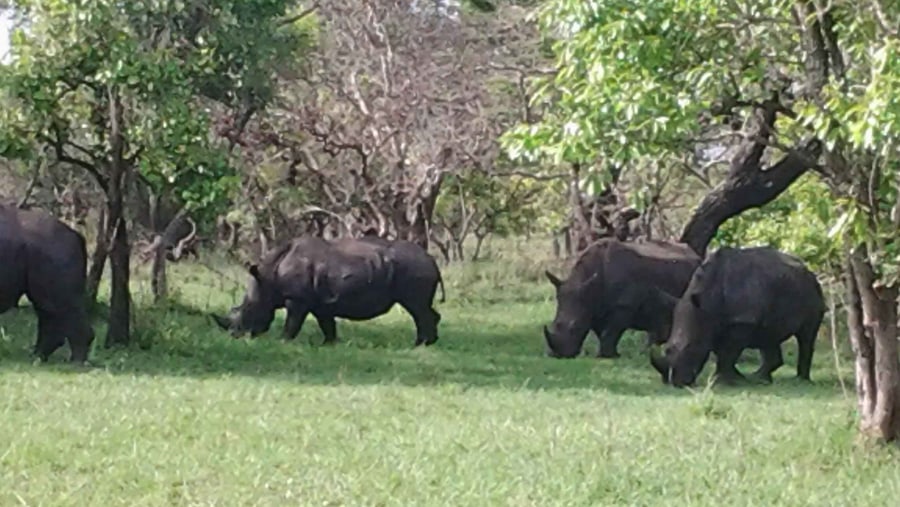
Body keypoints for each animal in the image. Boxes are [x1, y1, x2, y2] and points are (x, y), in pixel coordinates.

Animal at [0, 204, 95, 364]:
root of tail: (75, 236)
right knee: (48, 309)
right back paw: (37, 357)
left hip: (53, 252)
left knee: (62, 306)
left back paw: (75, 362)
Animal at [214, 236, 446, 348]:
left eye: (248, 309)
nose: (235, 336)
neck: (268, 277)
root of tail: (433, 260)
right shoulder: (320, 303)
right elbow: (327, 325)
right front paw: (329, 345)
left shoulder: (297, 300)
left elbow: (292, 323)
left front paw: (283, 342)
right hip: (415, 267)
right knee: (422, 308)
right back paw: (428, 343)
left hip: (414, 268)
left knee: (416, 308)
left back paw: (419, 345)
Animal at [540, 240, 704, 360]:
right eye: (554, 323)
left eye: (575, 326)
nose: (557, 355)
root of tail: (696, 254)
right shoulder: (595, 308)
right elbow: (602, 332)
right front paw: (612, 354)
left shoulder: (623, 306)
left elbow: (610, 332)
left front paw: (606, 356)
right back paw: (649, 351)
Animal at [652, 247, 828, 388]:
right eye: (667, 349)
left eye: (691, 349)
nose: (677, 383)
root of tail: (808, 270)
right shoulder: (716, 322)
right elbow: (722, 352)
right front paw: (737, 378)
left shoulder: (742, 321)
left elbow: (728, 353)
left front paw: (720, 381)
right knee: (768, 335)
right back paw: (760, 379)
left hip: (813, 292)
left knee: (806, 336)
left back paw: (800, 381)